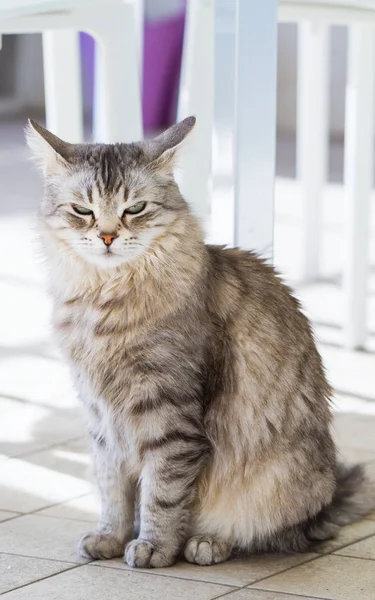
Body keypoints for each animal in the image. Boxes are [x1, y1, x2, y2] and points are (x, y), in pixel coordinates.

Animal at [27, 116, 375, 568]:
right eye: (83, 211)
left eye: (134, 208)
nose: (106, 237)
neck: (104, 299)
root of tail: (328, 500)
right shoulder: (101, 416)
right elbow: (113, 489)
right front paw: (110, 537)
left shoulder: (169, 413)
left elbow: (161, 493)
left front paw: (154, 548)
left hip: (279, 483)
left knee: (271, 534)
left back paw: (207, 542)